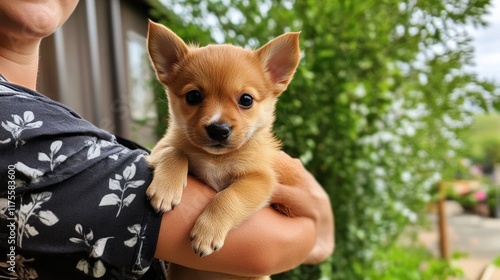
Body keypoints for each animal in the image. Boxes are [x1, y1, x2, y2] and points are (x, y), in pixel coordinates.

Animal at [146, 20, 298, 278]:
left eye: (246, 100)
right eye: (193, 96)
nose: (218, 129)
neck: (216, 159)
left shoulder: (259, 179)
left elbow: (229, 196)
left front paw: (207, 232)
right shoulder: (159, 148)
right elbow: (175, 152)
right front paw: (166, 189)